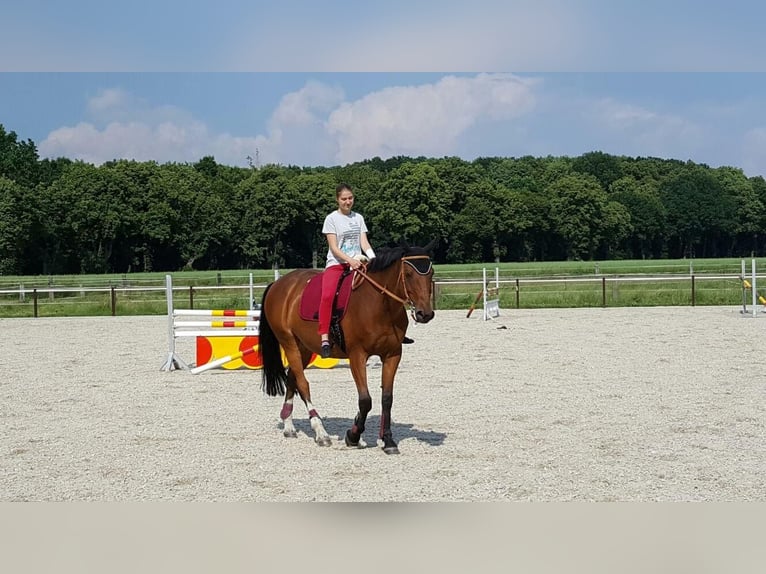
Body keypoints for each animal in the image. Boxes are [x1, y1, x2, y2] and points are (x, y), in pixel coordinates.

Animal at [257, 240, 436, 454]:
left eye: (431, 273)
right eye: (408, 274)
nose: (425, 314)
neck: (380, 305)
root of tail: (279, 283)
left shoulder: (392, 355)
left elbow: (387, 398)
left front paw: (388, 440)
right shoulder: (357, 355)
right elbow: (365, 400)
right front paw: (353, 435)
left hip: (305, 348)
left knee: (293, 377)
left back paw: (289, 426)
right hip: (289, 342)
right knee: (303, 383)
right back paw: (321, 433)